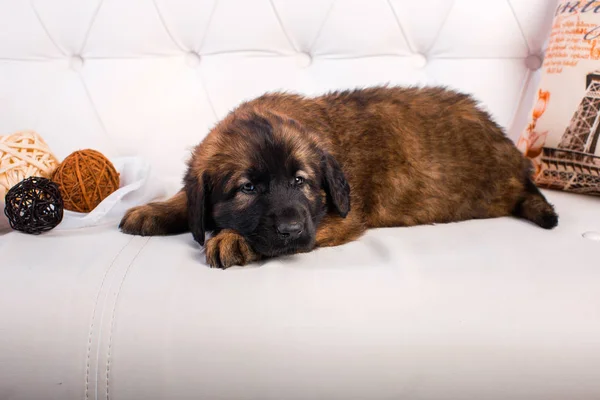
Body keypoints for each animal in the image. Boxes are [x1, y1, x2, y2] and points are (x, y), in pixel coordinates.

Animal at [120, 87, 556, 268]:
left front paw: (231, 239)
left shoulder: (342, 216)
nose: (292, 229)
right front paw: (153, 210)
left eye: (301, 181)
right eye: (248, 188)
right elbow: (186, 198)